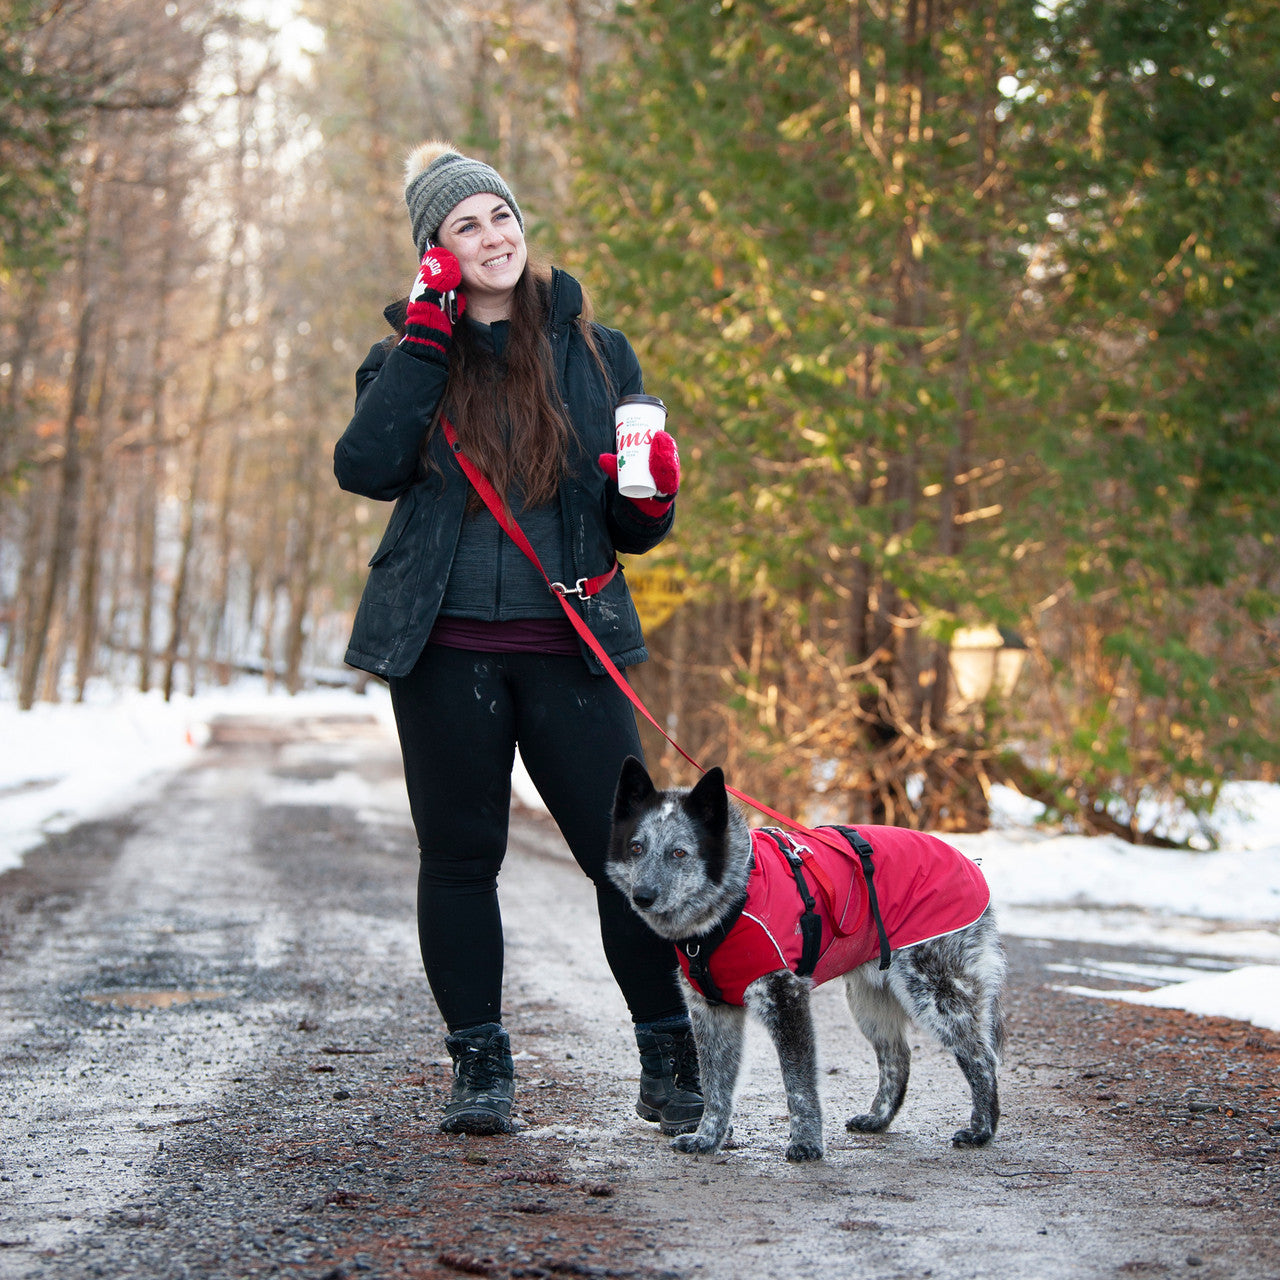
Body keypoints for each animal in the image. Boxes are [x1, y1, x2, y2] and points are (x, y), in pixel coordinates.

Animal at [604, 752, 1003, 1167]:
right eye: (636, 848)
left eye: (679, 852)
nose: (642, 896)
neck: (734, 903)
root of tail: (970, 863)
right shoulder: (712, 1013)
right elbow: (716, 1087)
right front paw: (708, 1138)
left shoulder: (786, 1001)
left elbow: (798, 1083)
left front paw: (807, 1143)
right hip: (868, 1002)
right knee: (897, 1057)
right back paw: (878, 1118)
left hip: (938, 995)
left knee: (982, 1057)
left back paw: (981, 1129)